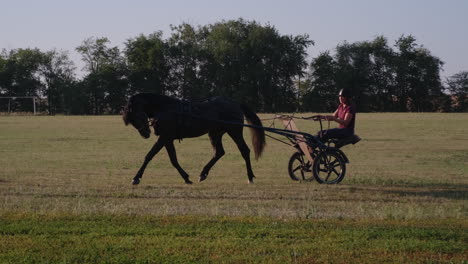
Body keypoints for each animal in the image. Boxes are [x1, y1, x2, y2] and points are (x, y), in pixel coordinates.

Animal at [122, 94, 266, 185]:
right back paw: (203, 173)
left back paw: (250, 177)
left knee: (244, 150)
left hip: (234, 131)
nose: (145, 134)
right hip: (215, 133)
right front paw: (186, 178)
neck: (165, 108)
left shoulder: (164, 137)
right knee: (219, 152)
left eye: (135, 115)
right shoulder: (168, 139)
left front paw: (136, 178)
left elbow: (149, 155)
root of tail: (235, 103)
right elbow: (173, 159)